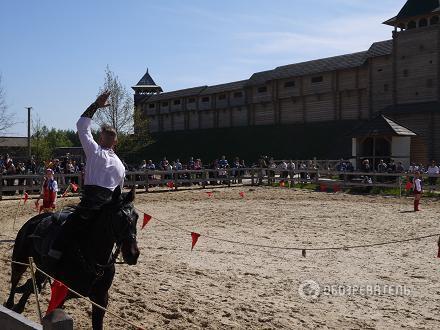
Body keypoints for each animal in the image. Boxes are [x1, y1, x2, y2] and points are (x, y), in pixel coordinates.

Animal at [3, 187, 139, 328]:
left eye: (136, 217)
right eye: (118, 218)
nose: (133, 254)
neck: (91, 261)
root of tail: (34, 221)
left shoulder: (100, 300)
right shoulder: (60, 295)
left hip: (41, 268)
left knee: (32, 283)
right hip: (20, 259)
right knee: (16, 279)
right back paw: (10, 304)